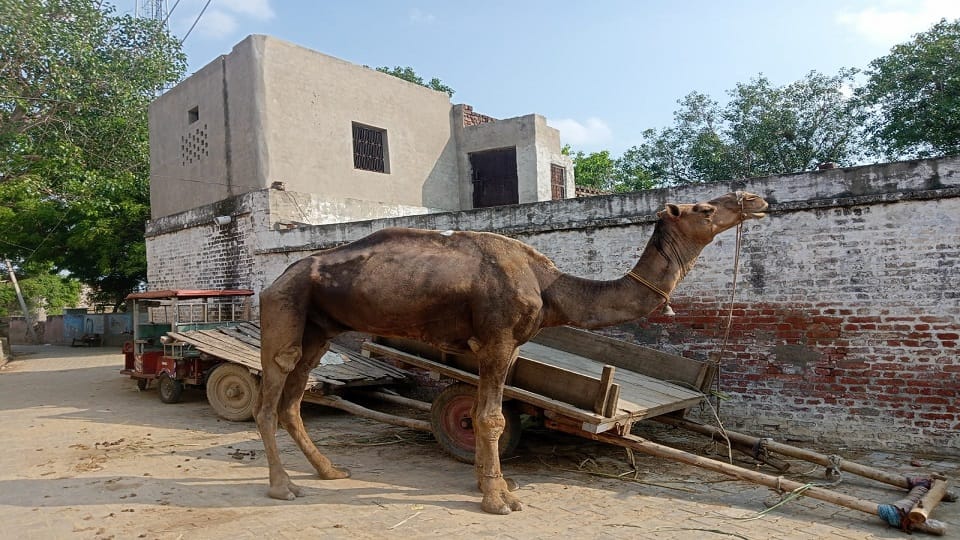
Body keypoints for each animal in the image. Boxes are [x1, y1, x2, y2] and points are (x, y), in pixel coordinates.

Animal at [254, 190, 769, 515]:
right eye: (705, 208)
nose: (755, 200)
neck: (550, 286)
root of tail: (274, 280)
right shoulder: (498, 340)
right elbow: (490, 419)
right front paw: (500, 500)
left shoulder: (504, 346)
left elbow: (490, 415)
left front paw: (491, 484)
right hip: (284, 311)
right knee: (269, 398)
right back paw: (282, 487)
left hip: (319, 329)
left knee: (293, 400)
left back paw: (330, 471)